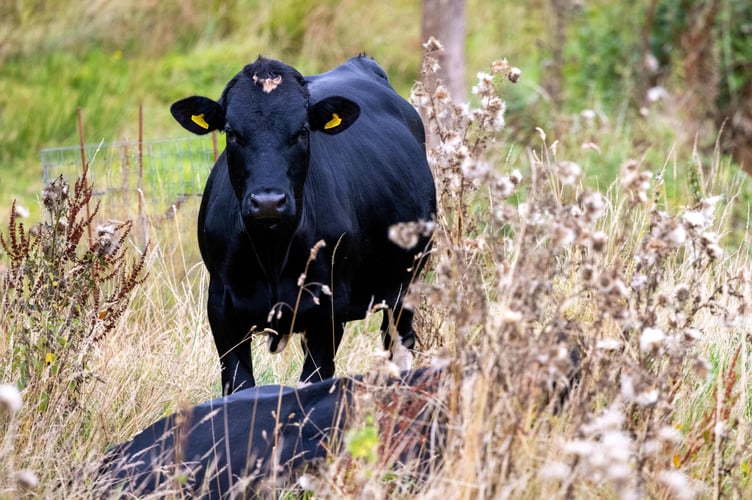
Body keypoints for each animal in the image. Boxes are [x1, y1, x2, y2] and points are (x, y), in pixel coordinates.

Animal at [170, 55, 436, 393]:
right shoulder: (221, 308)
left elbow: (313, 381)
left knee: (398, 345)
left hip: (406, 284)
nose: (268, 201)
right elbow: (239, 384)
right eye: (231, 131)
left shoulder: (328, 309)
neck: (272, 252)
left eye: (302, 131)